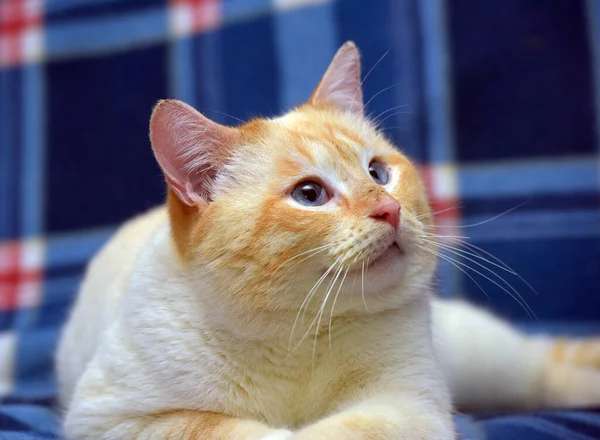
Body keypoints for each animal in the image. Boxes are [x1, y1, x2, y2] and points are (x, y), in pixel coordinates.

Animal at [55, 42, 600, 440]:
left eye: (378, 173)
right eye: (310, 195)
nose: (389, 209)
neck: (298, 335)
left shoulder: (406, 401)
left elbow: (341, 432)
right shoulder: (120, 419)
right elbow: (238, 431)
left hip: (482, 361)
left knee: (544, 364)